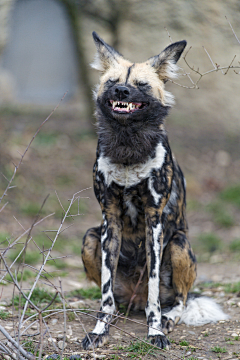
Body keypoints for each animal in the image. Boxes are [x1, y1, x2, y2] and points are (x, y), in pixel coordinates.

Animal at [81, 33, 229, 348]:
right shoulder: (109, 219)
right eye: (112, 82)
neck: (127, 144)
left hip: (179, 245)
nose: (122, 91)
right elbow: (105, 296)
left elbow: (153, 293)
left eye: (142, 84)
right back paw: (117, 313)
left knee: (180, 299)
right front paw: (100, 330)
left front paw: (155, 331)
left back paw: (169, 318)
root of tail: (132, 301)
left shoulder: (154, 221)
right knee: (115, 300)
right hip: (90, 239)